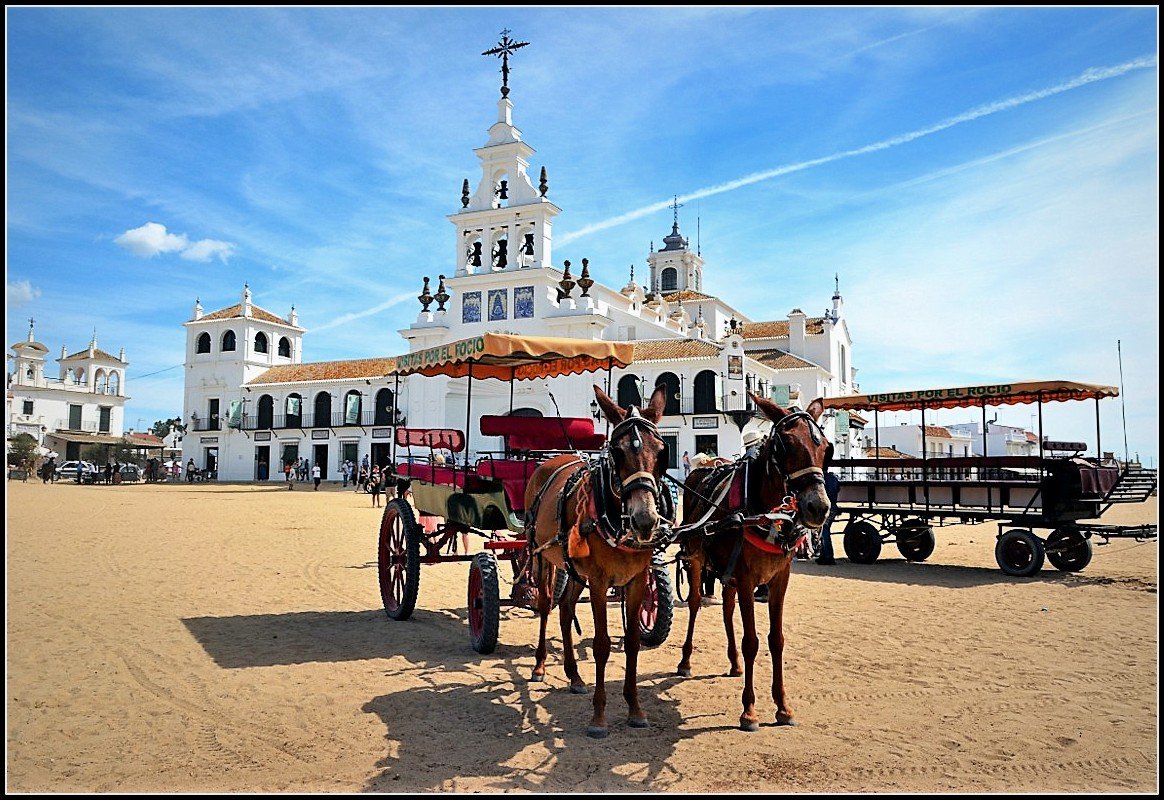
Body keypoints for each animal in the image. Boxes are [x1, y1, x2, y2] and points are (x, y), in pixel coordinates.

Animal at [523, 381, 670, 740]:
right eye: (617, 452)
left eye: (662, 451)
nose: (644, 520)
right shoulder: (601, 582)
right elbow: (602, 645)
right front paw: (599, 717)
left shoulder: (636, 579)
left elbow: (632, 642)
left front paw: (635, 709)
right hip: (542, 556)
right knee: (546, 606)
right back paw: (540, 665)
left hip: (574, 568)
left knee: (565, 610)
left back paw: (575, 676)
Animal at [679, 393, 833, 731]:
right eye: (785, 446)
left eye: (825, 448)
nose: (818, 507)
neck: (766, 515)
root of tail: (705, 465)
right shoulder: (748, 578)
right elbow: (752, 641)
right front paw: (749, 710)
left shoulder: (779, 578)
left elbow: (776, 640)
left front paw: (783, 706)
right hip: (696, 560)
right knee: (695, 603)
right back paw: (685, 660)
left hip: (728, 572)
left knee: (726, 608)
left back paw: (734, 663)